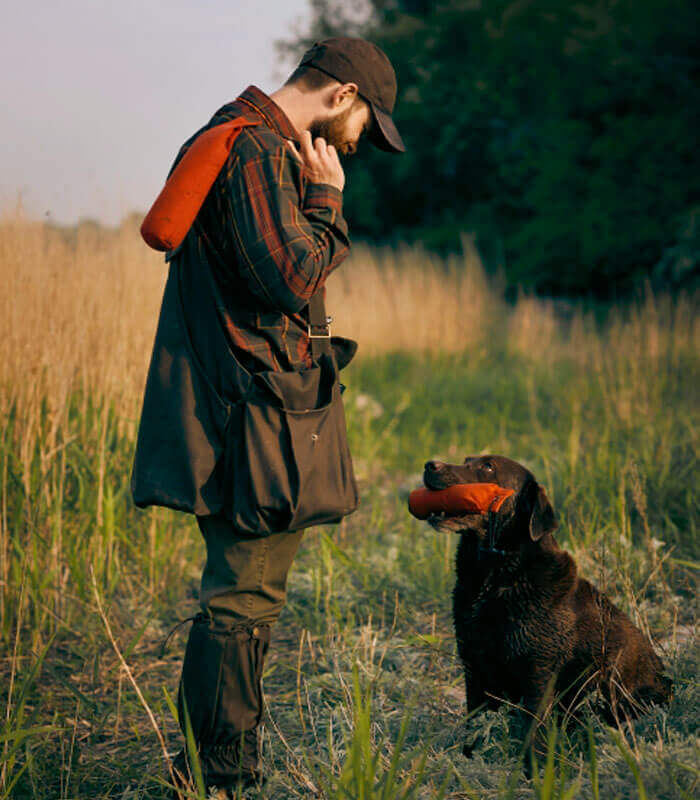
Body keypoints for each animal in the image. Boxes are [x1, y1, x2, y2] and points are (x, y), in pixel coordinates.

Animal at [424, 454, 668, 740]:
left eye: (488, 466)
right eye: (466, 460)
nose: (430, 465)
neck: (496, 578)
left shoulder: (538, 673)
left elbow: (533, 733)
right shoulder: (474, 667)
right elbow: (472, 731)